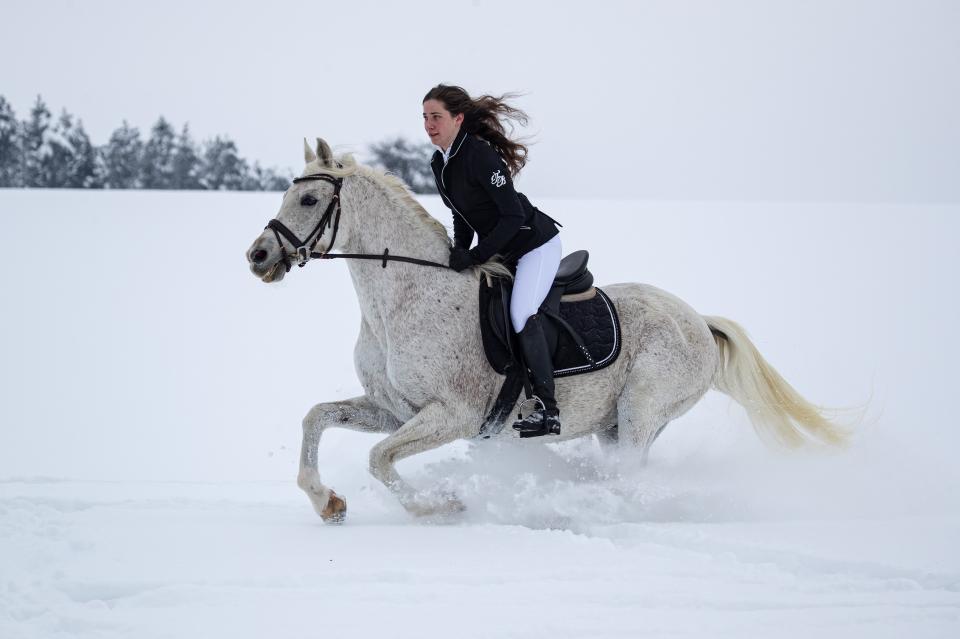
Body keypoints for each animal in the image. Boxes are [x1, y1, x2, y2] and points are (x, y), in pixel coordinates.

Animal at [244, 138, 844, 524]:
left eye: (308, 199)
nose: (258, 256)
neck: (402, 300)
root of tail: (697, 319)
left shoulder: (451, 415)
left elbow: (379, 459)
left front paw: (442, 505)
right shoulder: (395, 409)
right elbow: (317, 418)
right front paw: (327, 501)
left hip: (642, 411)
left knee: (627, 477)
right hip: (613, 425)